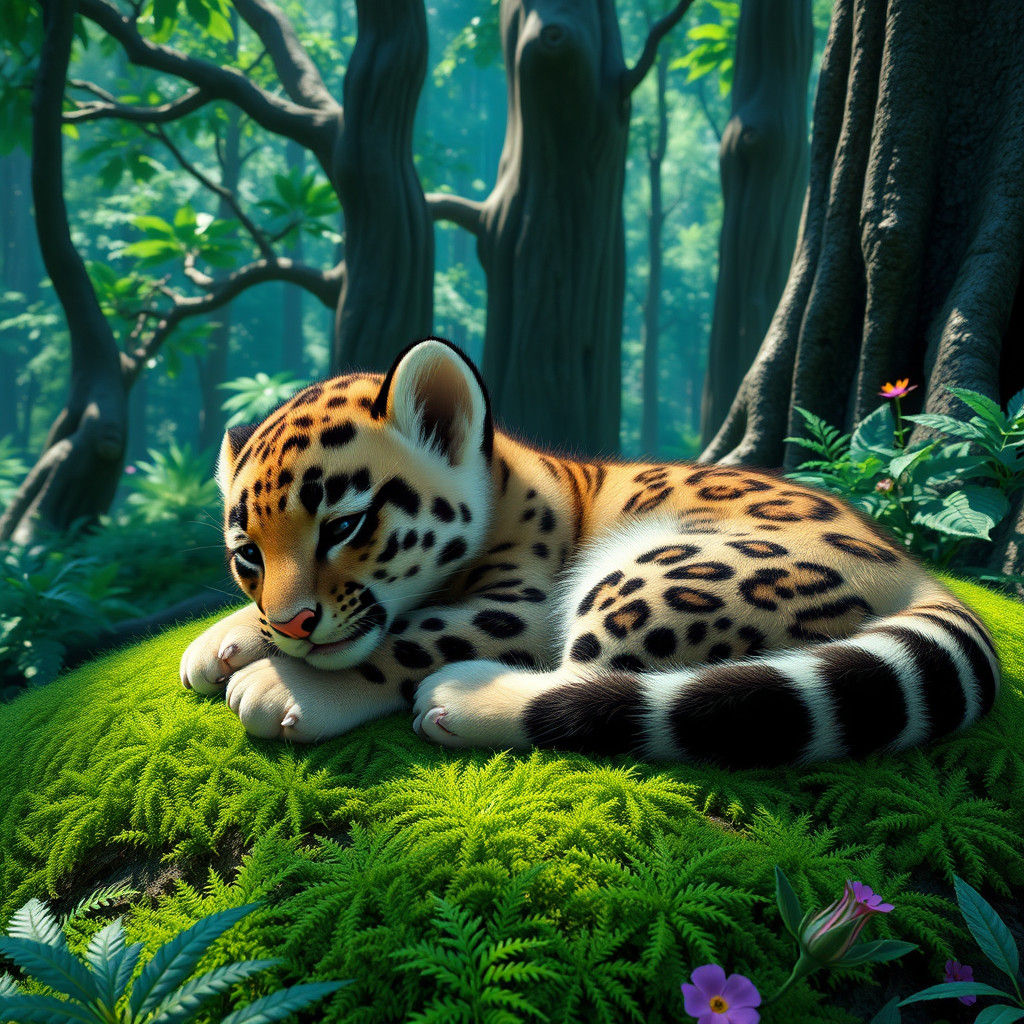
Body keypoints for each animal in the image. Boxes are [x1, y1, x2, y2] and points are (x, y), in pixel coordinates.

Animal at [180, 337, 1000, 767]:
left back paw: (462, 699)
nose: (290, 624)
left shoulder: (525, 605)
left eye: (345, 526)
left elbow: (410, 635)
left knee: (605, 691)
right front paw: (223, 641)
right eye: (248, 556)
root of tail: (920, 575)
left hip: (647, 577)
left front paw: (283, 684)